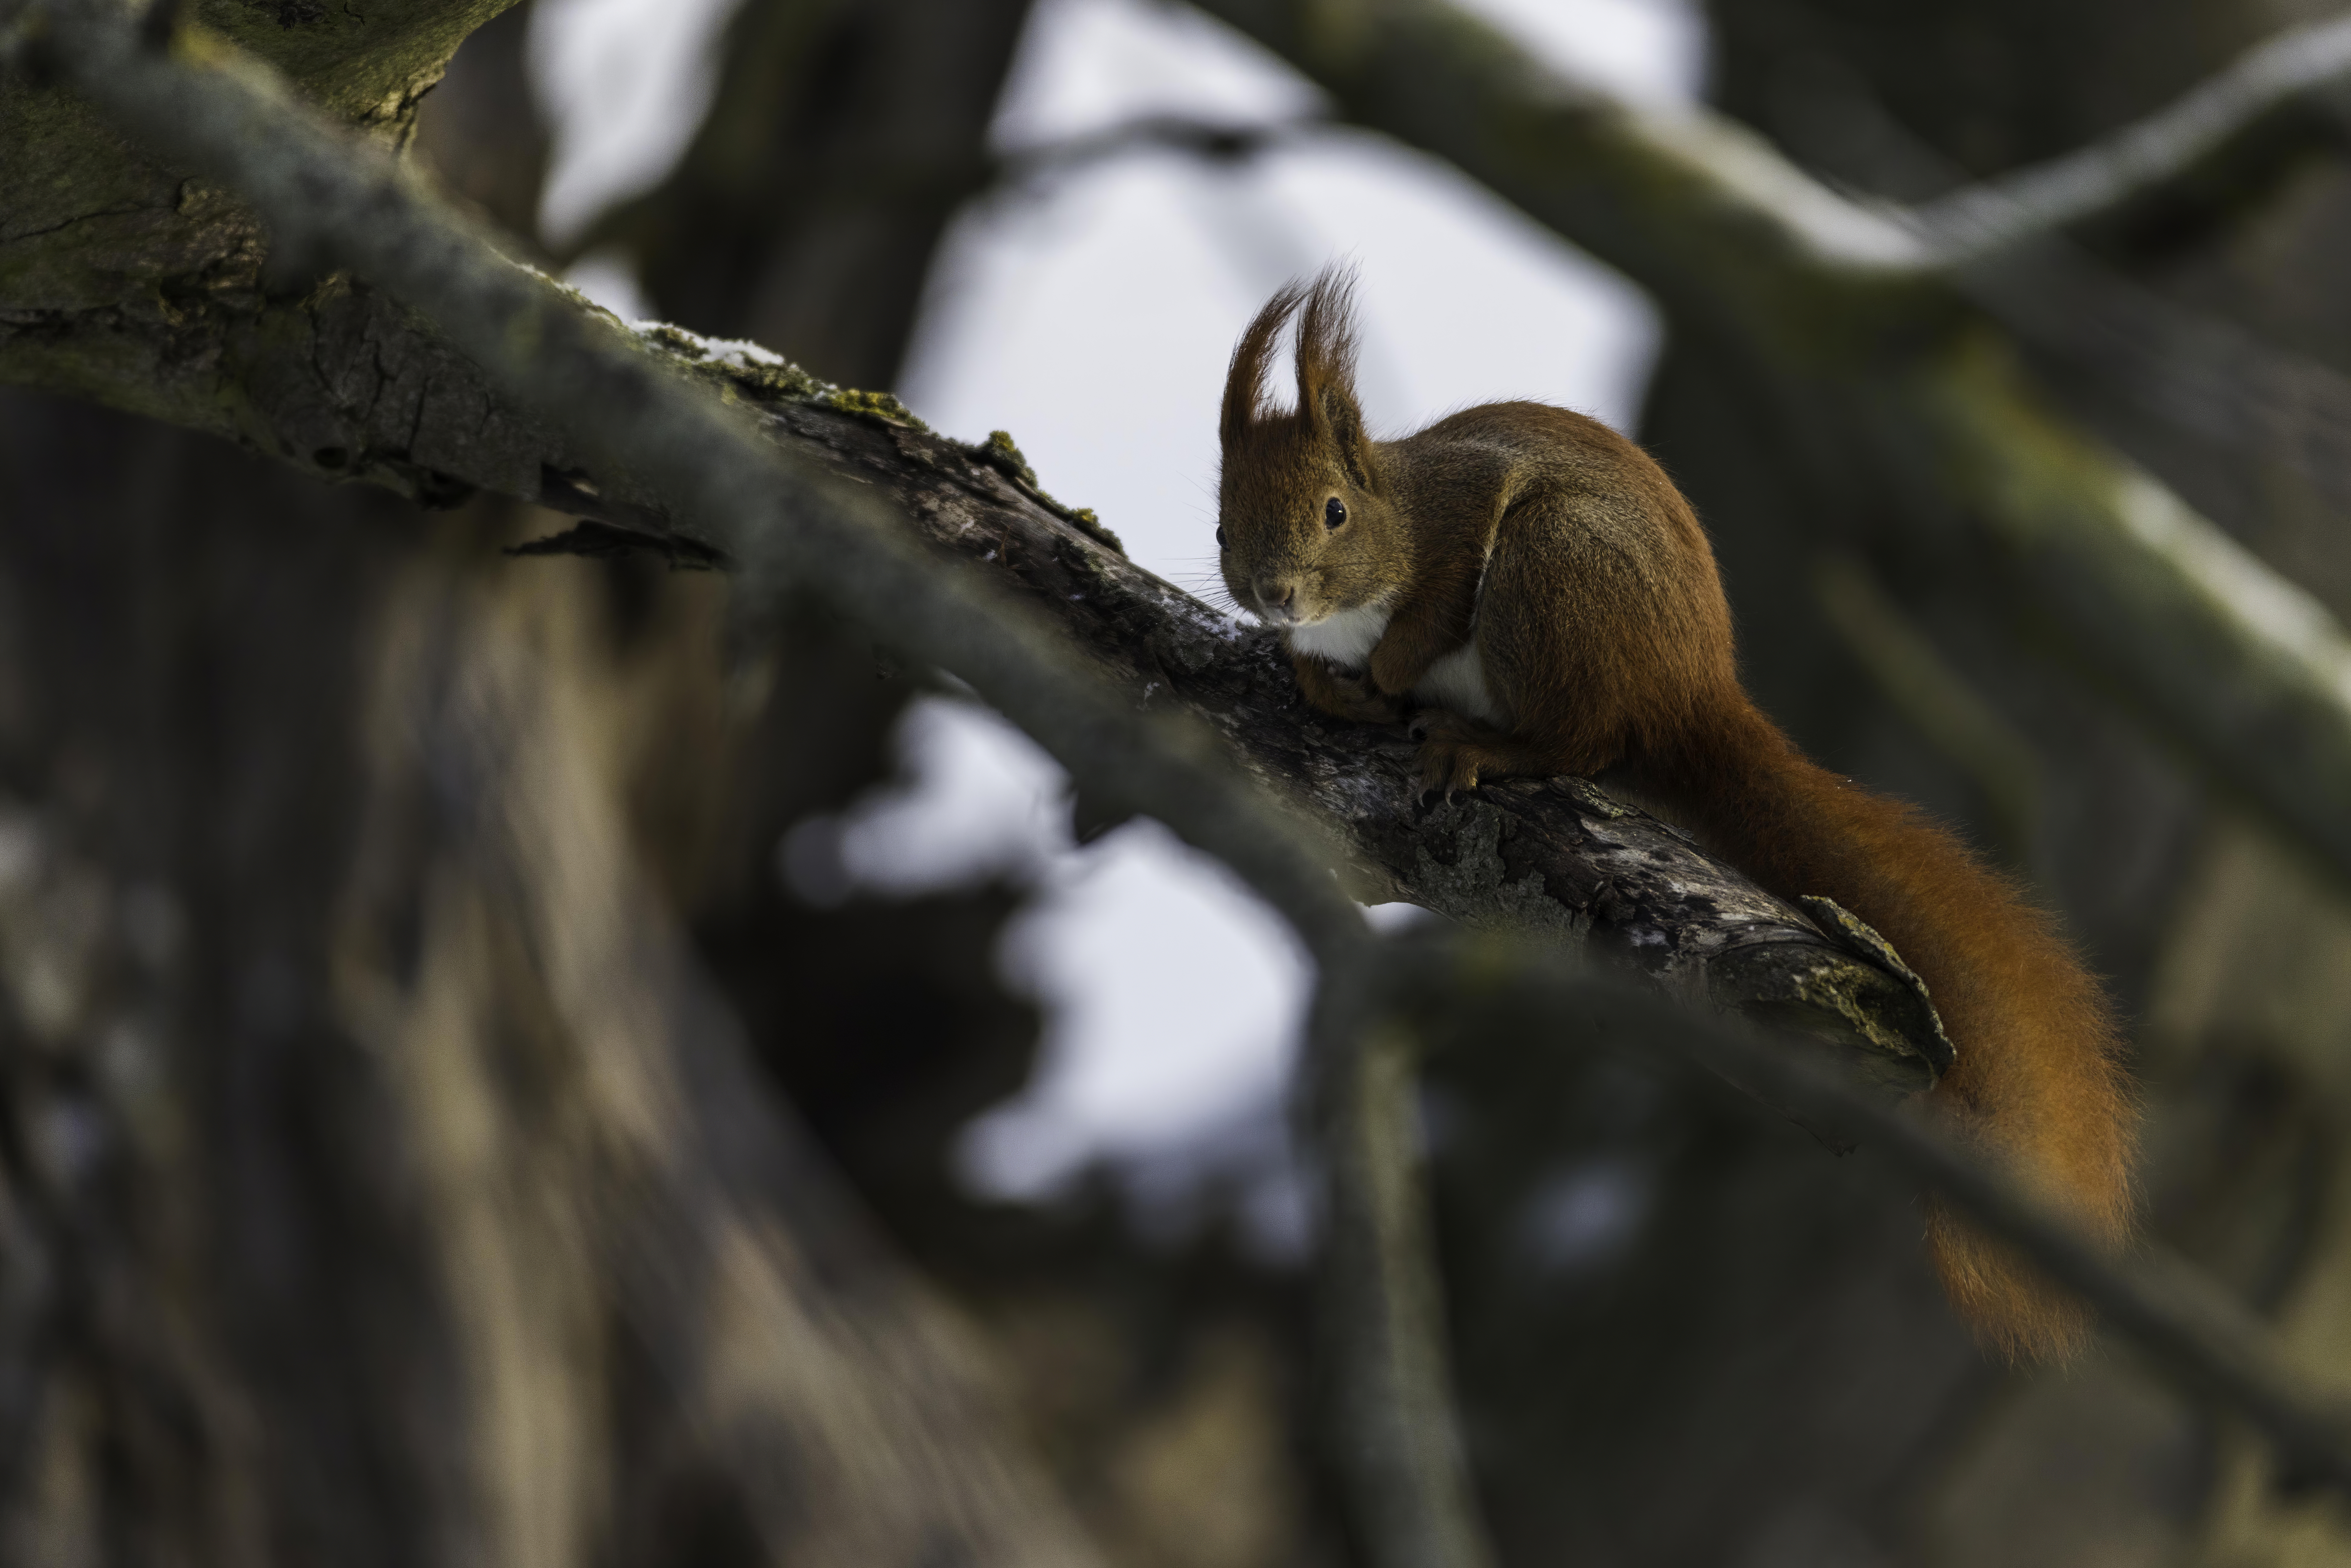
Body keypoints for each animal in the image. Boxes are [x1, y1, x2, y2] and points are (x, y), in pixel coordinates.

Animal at [1222, 267, 2144, 1354]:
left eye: (1333, 511)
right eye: (1223, 521)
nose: (1273, 595)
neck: (1390, 523)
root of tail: (1688, 696)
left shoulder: (1465, 509)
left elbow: (1438, 597)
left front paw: (1391, 666)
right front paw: (1322, 681)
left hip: (1555, 570)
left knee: (1579, 741)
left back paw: (1478, 742)